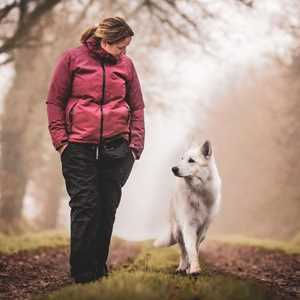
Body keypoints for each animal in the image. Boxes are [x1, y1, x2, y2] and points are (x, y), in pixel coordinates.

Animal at [155, 141, 220, 274]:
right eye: (182, 158)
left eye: (191, 160)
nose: (174, 168)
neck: (197, 192)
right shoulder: (189, 225)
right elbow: (190, 249)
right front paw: (194, 269)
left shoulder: (202, 228)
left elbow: (195, 247)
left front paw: (192, 268)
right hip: (177, 230)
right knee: (182, 250)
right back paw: (182, 267)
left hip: (202, 234)